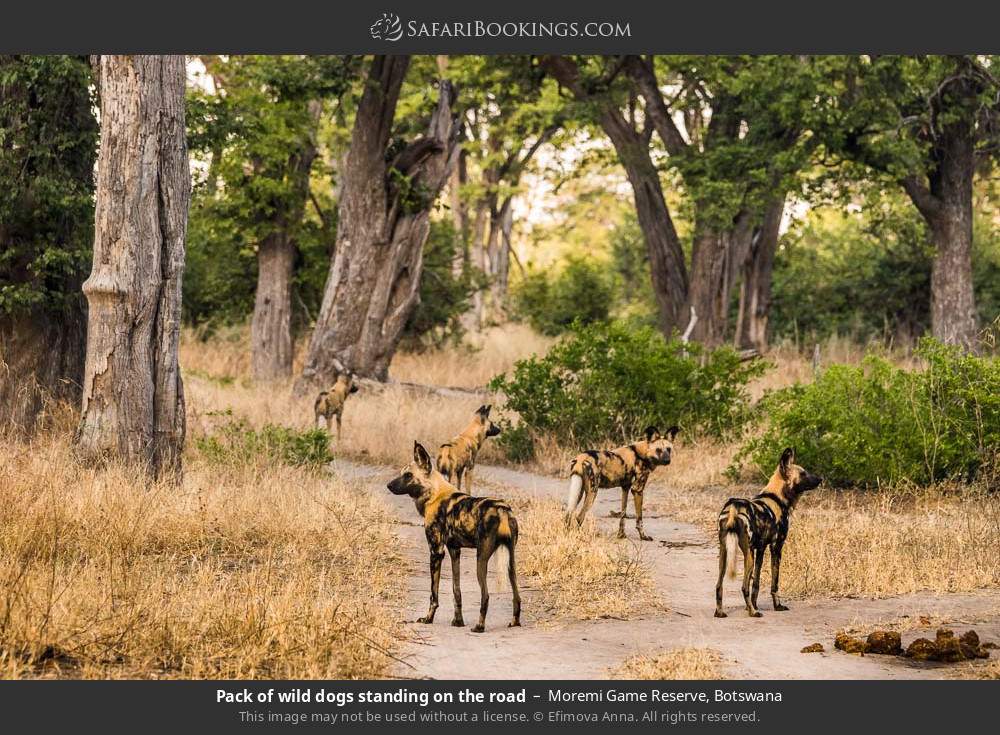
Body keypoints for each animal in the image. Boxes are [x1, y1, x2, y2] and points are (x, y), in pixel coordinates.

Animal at [386, 440, 524, 636]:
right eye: (401, 473)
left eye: (408, 475)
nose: (388, 485)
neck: (434, 494)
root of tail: (502, 509)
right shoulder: (454, 551)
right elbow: (456, 589)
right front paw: (458, 621)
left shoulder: (436, 552)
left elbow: (433, 594)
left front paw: (428, 619)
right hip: (510, 562)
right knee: (517, 595)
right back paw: (514, 622)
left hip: (481, 560)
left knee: (485, 595)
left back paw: (479, 626)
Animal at [720, 446, 820, 620]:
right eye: (803, 474)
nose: (820, 479)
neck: (777, 497)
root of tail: (734, 506)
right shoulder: (776, 547)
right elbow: (775, 582)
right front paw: (777, 606)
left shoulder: (760, 548)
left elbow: (756, 583)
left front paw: (753, 604)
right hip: (748, 555)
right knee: (743, 586)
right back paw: (753, 613)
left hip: (725, 553)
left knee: (719, 585)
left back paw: (721, 612)